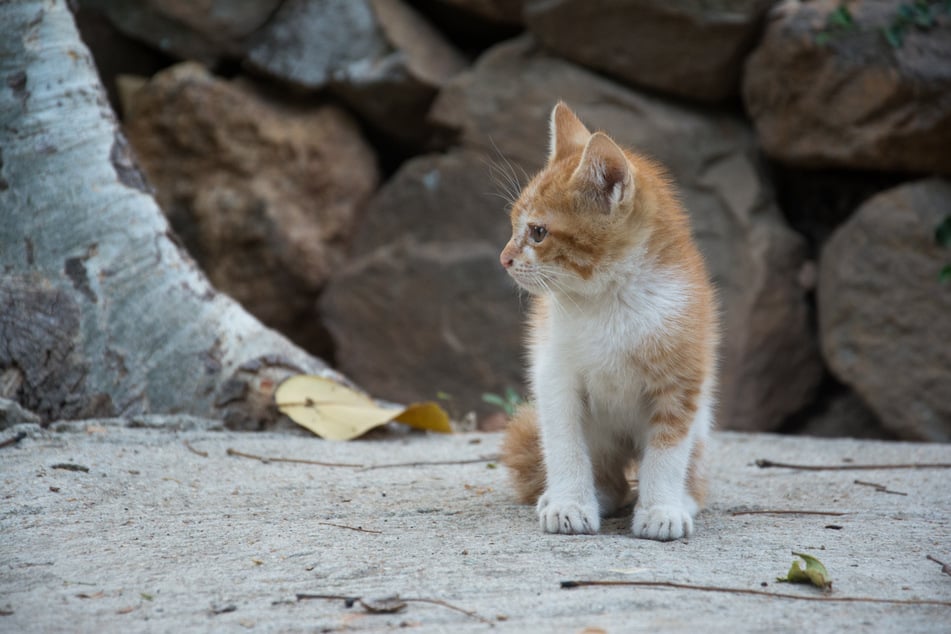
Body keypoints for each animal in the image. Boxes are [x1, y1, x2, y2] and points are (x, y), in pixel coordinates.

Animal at [502, 102, 716, 540]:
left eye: (538, 232)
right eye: (515, 225)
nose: (504, 258)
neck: (609, 300)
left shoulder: (682, 380)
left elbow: (667, 454)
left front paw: (661, 508)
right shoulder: (555, 376)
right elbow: (564, 444)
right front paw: (569, 502)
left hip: (703, 424)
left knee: (692, 467)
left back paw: (683, 499)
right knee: (609, 476)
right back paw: (583, 495)